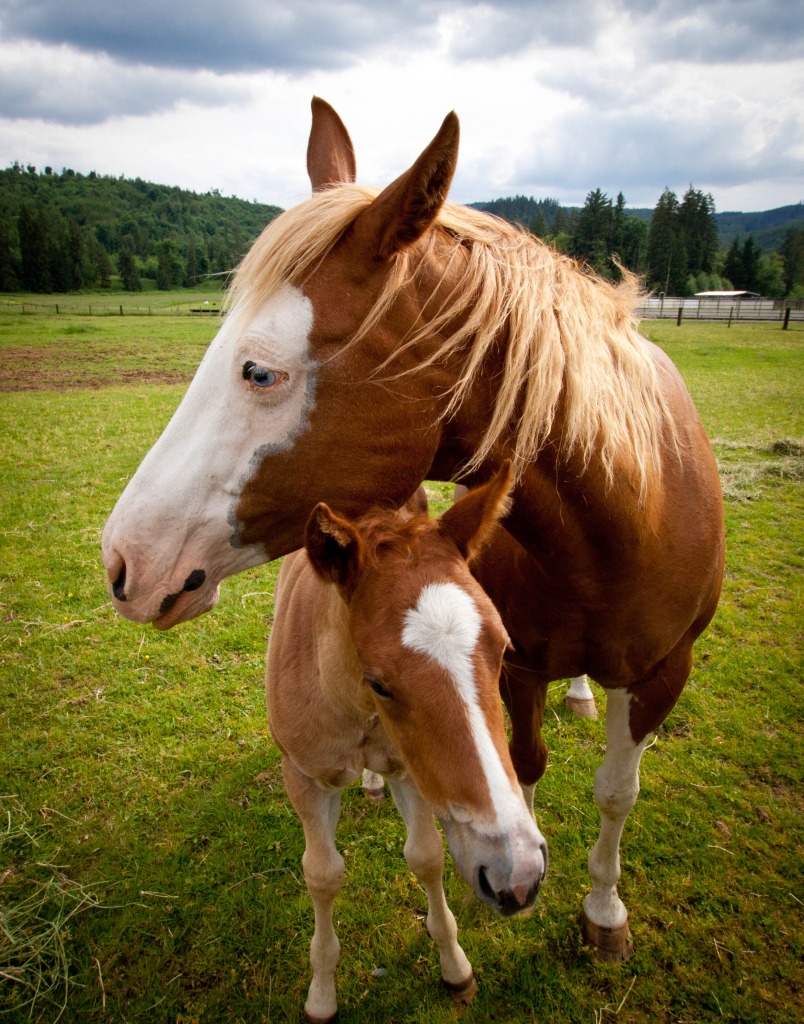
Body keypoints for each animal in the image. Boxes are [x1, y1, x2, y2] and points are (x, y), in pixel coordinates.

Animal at [103, 96, 725, 958]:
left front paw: (603, 910)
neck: (623, 526)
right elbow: (522, 764)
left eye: (259, 370)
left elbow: (615, 793)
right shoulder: (518, 668)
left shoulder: (661, 672)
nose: (123, 560)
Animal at [264, 466, 544, 1024]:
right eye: (380, 682)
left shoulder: (412, 771)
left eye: (504, 648)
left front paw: (455, 968)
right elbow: (322, 875)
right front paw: (321, 996)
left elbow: (427, 856)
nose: (519, 874)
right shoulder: (303, 775)